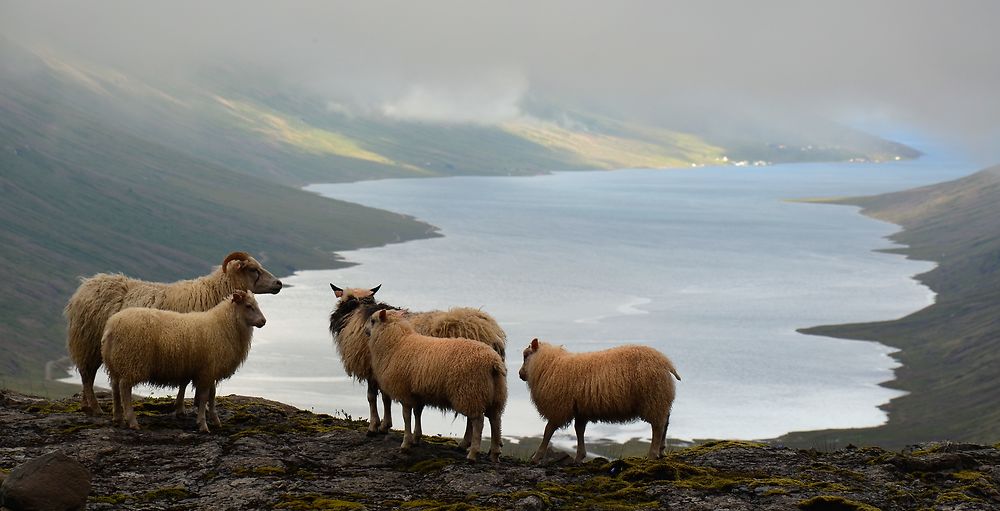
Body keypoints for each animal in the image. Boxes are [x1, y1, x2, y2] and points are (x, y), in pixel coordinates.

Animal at [63, 251, 282, 416]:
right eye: (253, 270)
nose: (279, 284)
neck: (213, 293)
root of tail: (85, 285)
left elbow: (186, 381)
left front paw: (186, 405)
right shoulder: (189, 347)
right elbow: (187, 382)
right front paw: (187, 407)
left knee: (87, 375)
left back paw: (85, 405)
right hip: (88, 341)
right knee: (87, 374)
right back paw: (95, 408)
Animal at [100, 292, 266, 432]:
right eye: (248, 306)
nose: (263, 321)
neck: (224, 324)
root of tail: (111, 326)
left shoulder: (210, 369)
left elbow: (212, 395)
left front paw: (215, 419)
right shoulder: (206, 371)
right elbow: (204, 397)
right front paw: (203, 424)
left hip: (116, 362)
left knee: (115, 386)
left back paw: (117, 418)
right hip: (132, 361)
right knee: (124, 388)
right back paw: (132, 421)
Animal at [328, 284, 504, 448]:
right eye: (348, 301)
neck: (358, 312)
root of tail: (491, 332)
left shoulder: (373, 369)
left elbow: (372, 397)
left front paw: (373, 427)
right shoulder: (386, 370)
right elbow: (386, 397)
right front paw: (385, 425)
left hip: (469, 382)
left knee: (473, 415)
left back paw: (465, 443)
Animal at [368, 310, 508, 462]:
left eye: (372, 320)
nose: (366, 331)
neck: (397, 343)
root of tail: (493, 361)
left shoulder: (405, 392)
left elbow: (406, 417)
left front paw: (405, 444)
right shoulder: (417, 393)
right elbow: (417, 413)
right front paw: (416, 438)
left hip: (471, 392)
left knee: (478, 422)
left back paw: (472, 454)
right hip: (494, 395)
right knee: (495, 420)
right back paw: (494, 454)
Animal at [516, 340, 680, 464]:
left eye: (525, 355)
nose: (520, 374)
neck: (550, 364)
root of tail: (666, 362)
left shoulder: (559, 408)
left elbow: (548, 431)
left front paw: (536, 457)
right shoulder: (580, 410)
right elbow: (579, 430)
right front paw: (579, 457)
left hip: (653, 398)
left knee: (658, 426)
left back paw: (653, 454)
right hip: (660, 399)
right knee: (665, 422)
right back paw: (661, 450)